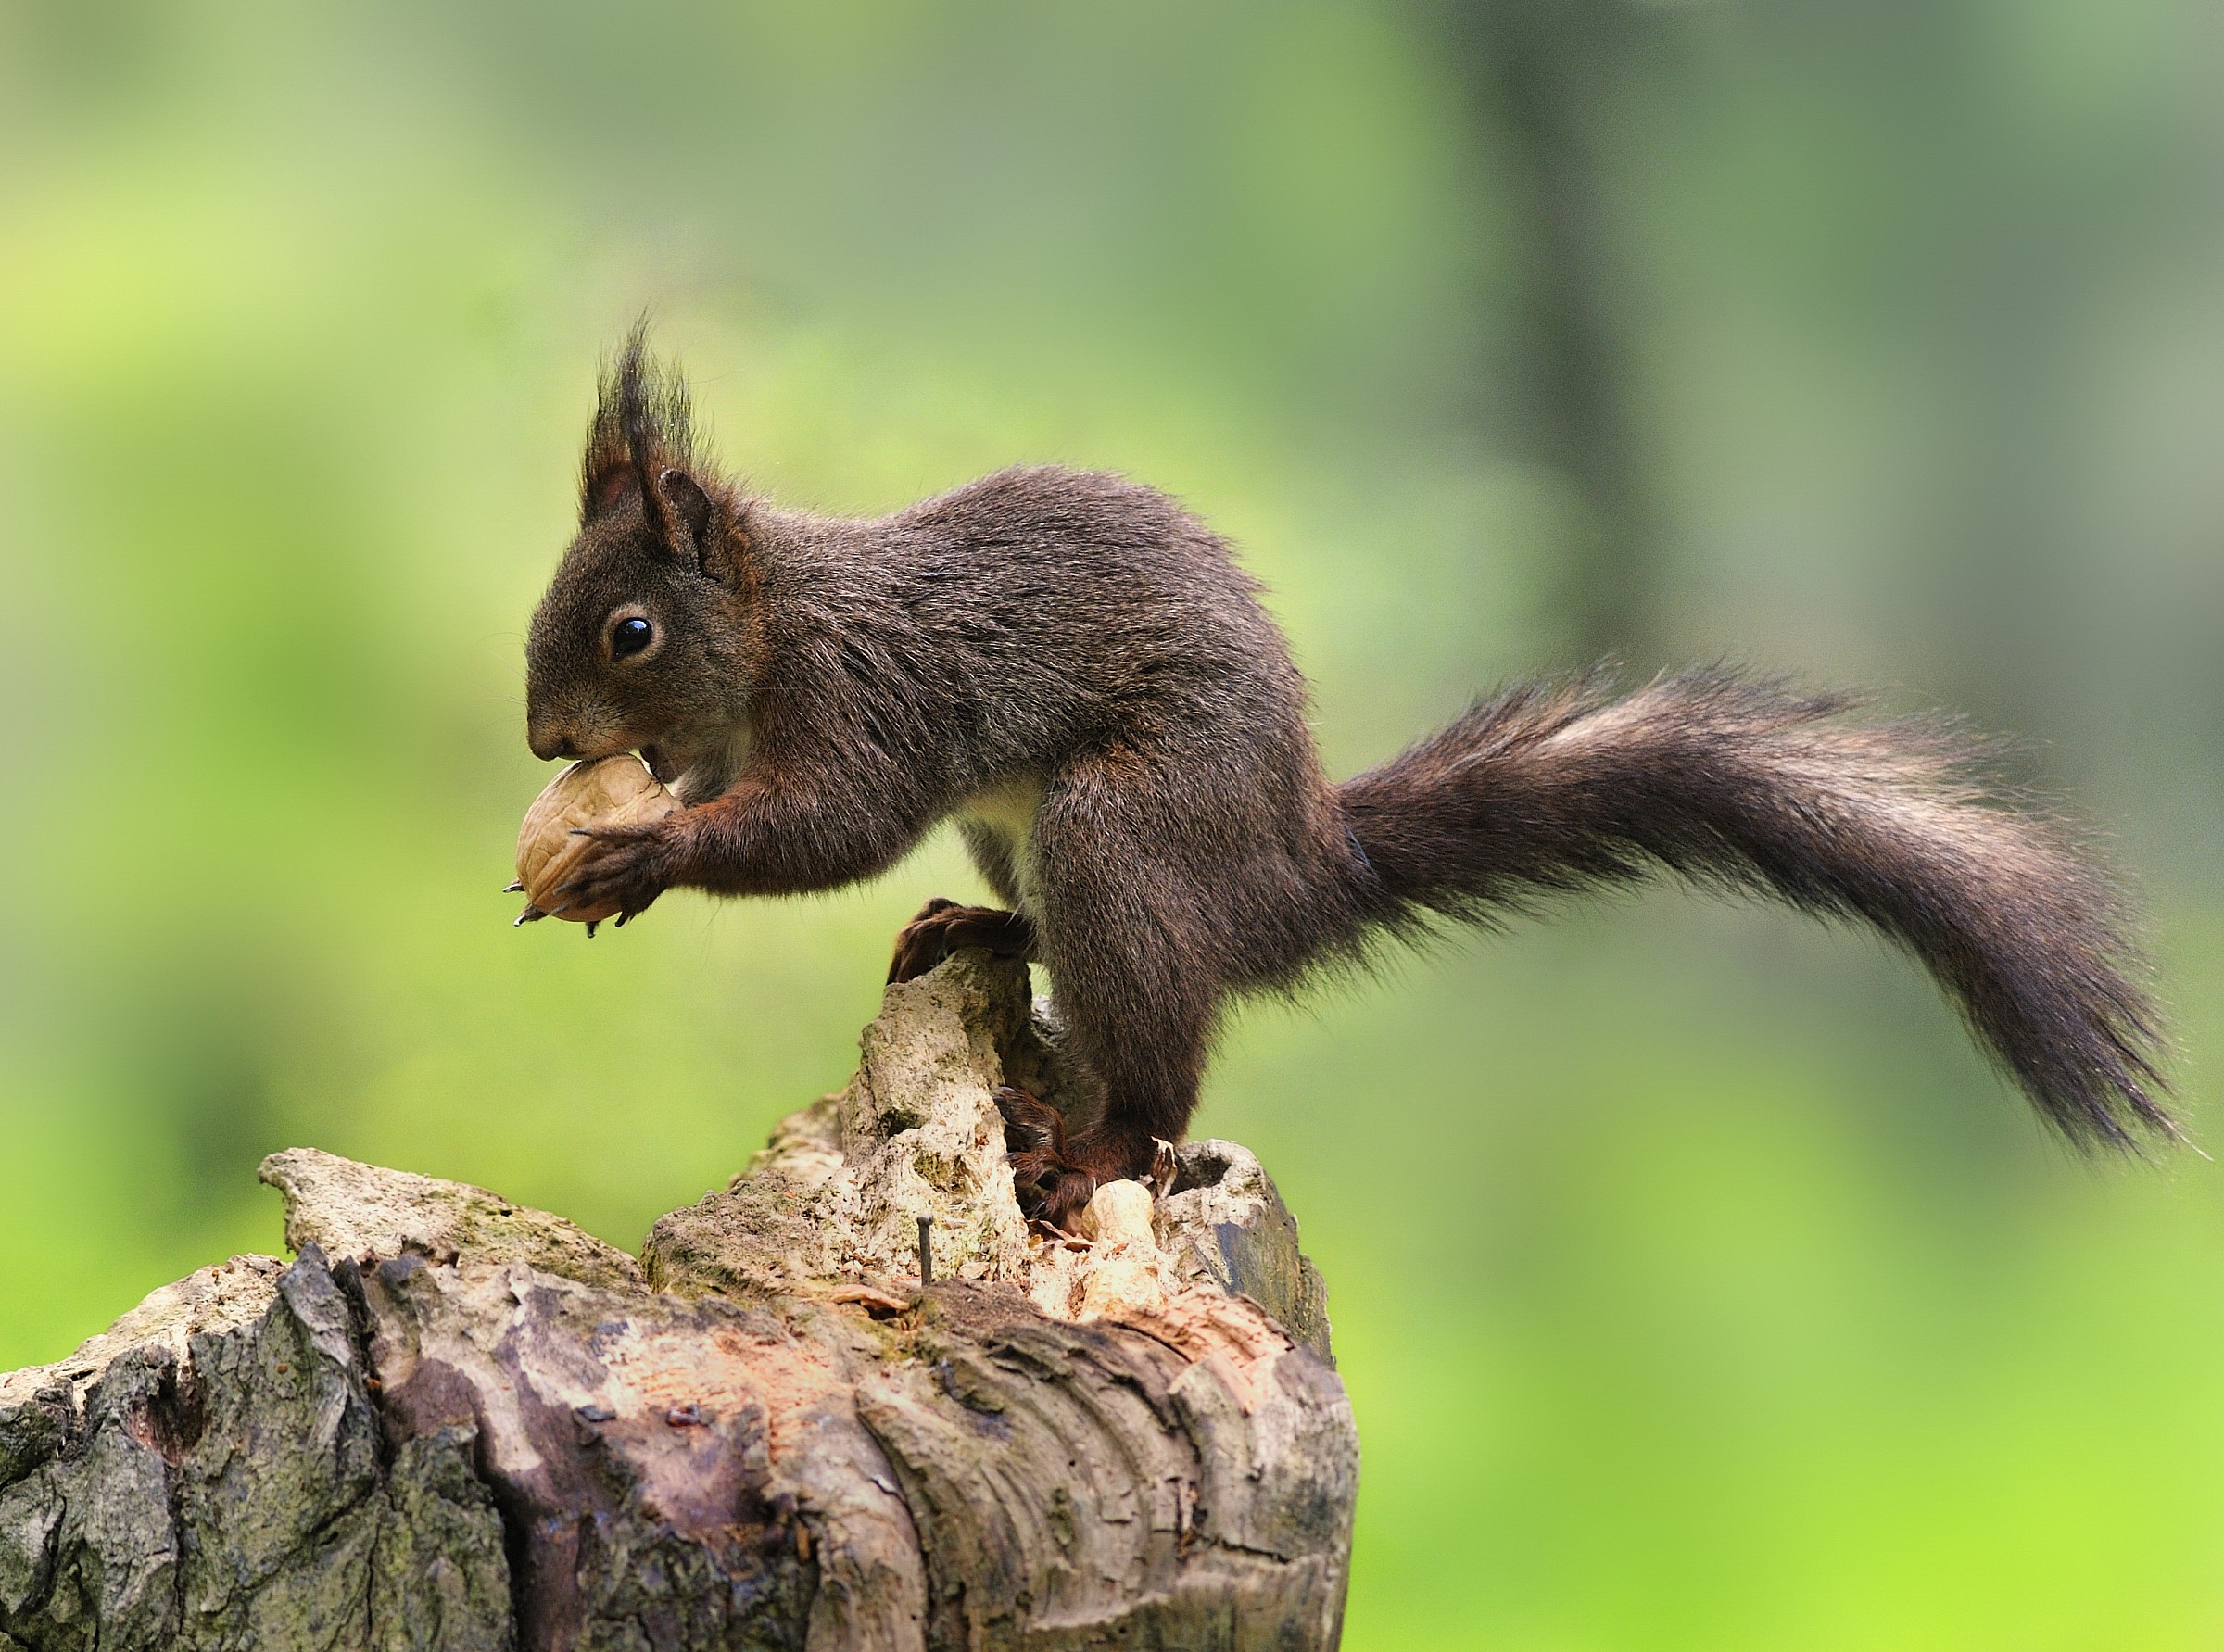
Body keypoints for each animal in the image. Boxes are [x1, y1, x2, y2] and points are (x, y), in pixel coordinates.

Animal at [524, 330, 2176, 1226]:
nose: (547, 744)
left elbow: (831, 828)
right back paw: (977, 929)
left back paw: (1097, 1145)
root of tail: (1295, 871)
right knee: (1056, 938)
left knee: (1160, 1071)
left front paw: (637, 855)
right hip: (1034, 841)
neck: (779, 623)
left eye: (629, 628)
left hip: (1122, 826)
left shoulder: (872, 700)